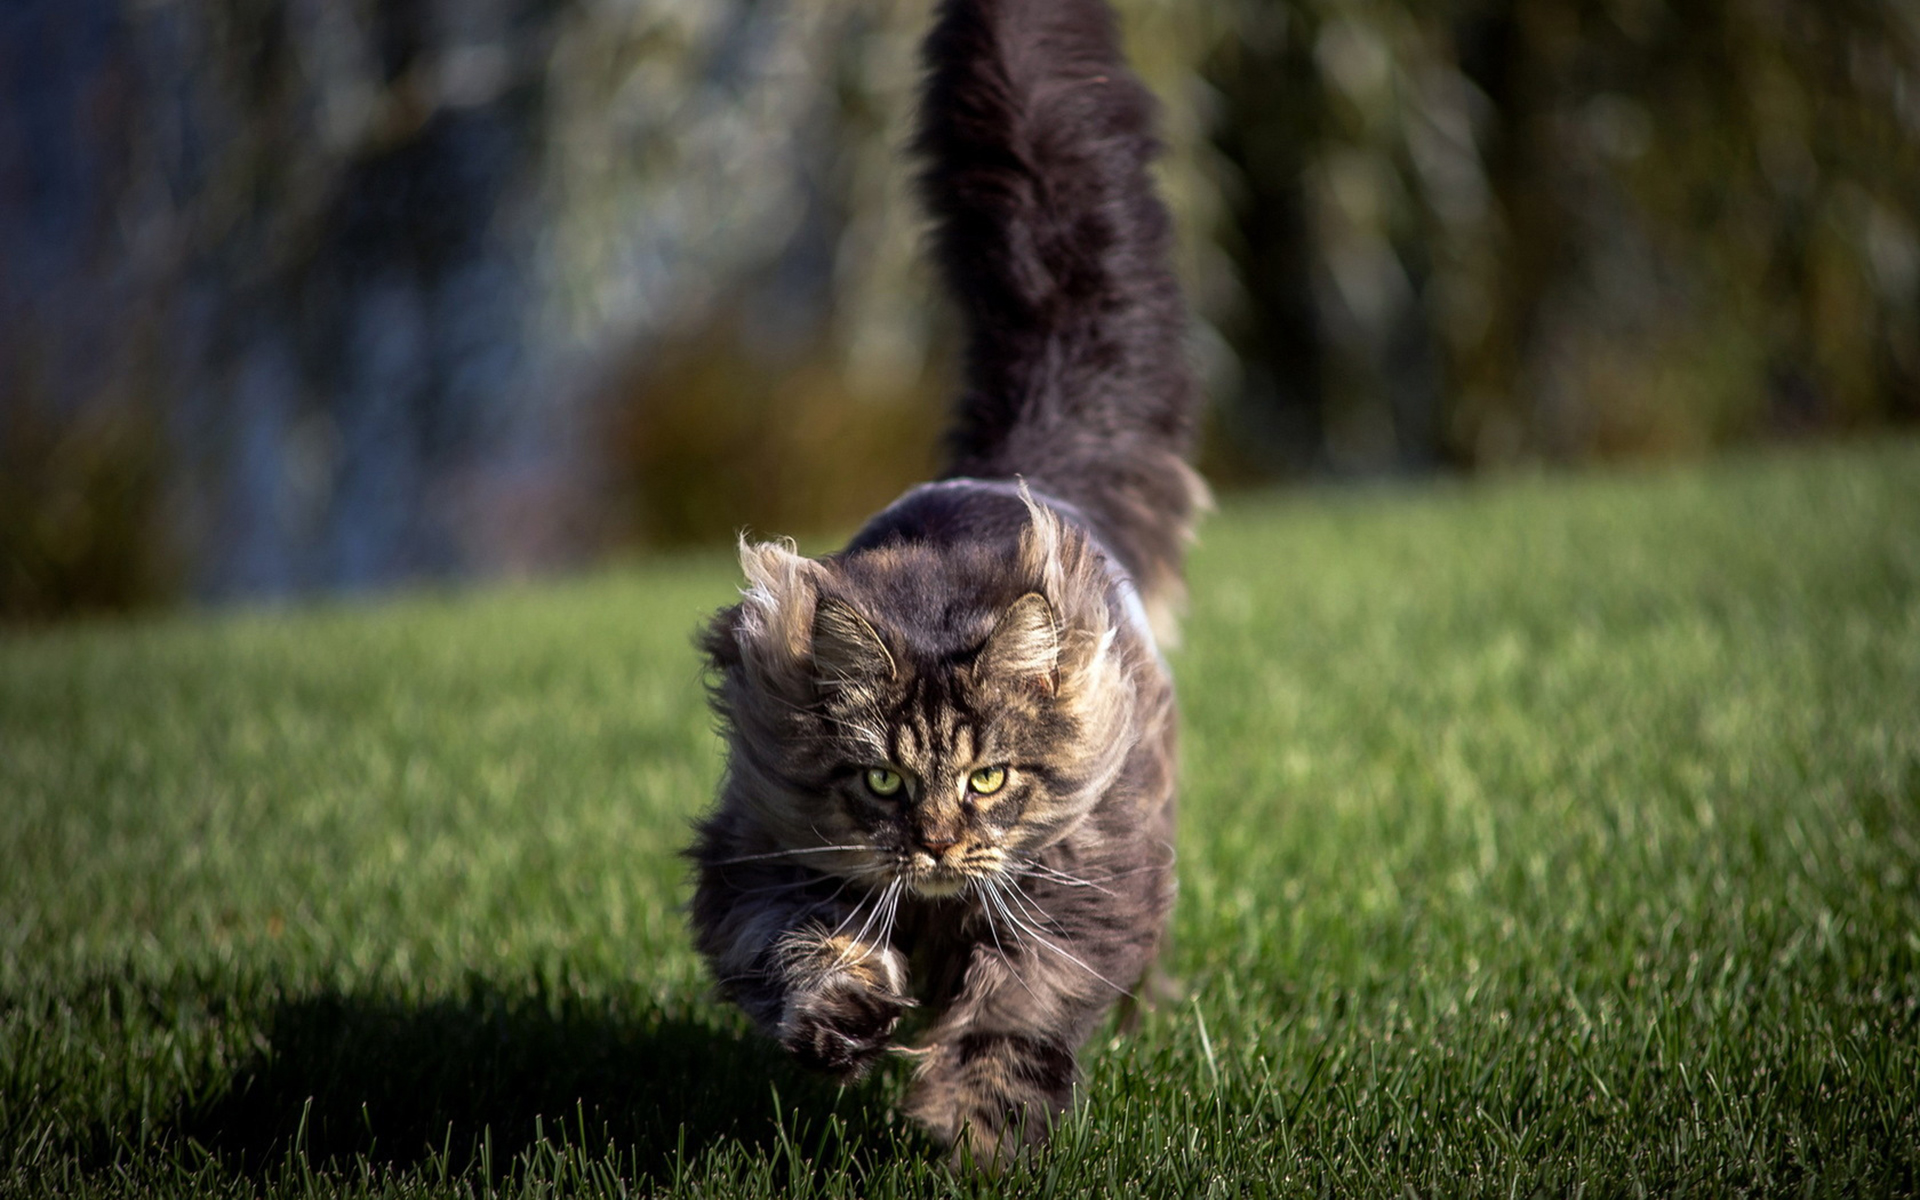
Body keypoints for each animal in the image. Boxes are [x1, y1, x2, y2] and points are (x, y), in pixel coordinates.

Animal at [687, 0, 1198, 1167]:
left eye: (990, 779)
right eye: (880, 783)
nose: (935, 843)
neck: (930, 908)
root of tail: (1012, 470)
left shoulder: (1082, 890)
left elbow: (1020, 1010)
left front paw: (971, 1127)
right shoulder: (751, 859)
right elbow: (795, 942)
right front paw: (844, 1010)